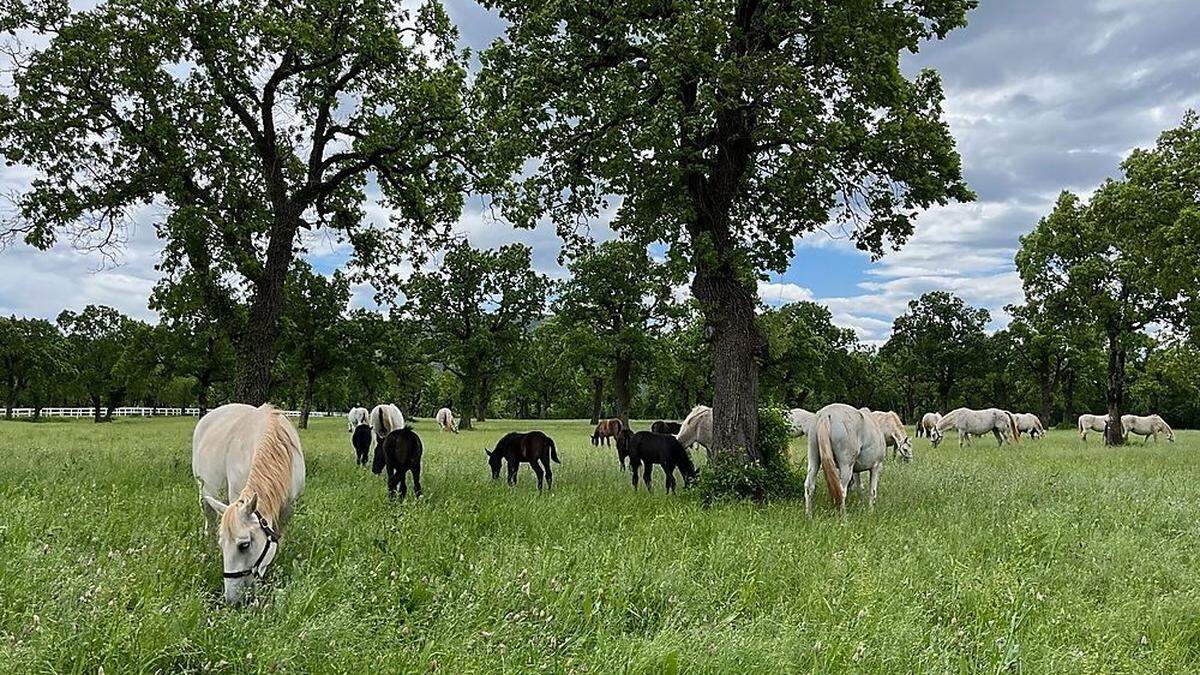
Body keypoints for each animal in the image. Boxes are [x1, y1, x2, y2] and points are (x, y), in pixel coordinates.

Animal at [190, 401, 304, 600]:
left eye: (244, 545)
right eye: (222, 545)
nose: (231, 600)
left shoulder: (288, 509)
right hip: (205, 496)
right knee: (209, 524)